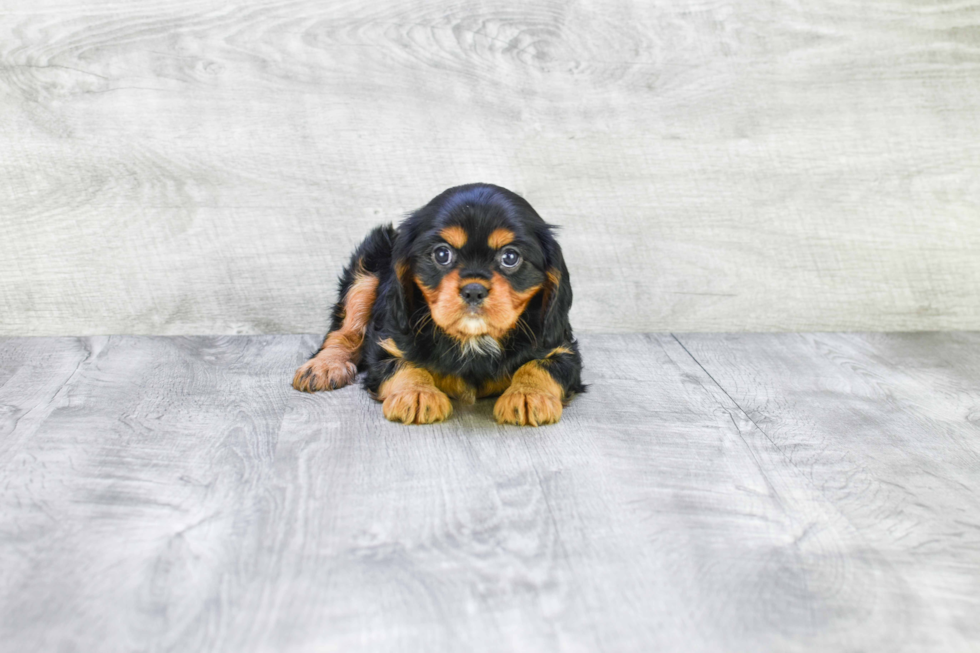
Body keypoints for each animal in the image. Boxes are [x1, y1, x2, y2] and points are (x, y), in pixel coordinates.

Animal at [290, 183, 580, 428]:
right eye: (442, 254)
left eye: (510, 257)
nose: (473, 291)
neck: (473, 340)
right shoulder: (387, 342)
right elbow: (402, 364)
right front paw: (417, 393)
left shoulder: (562, 348)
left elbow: (543, 365)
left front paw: (527, 395)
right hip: (368, 267)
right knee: (344, 331)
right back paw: (324, 366)